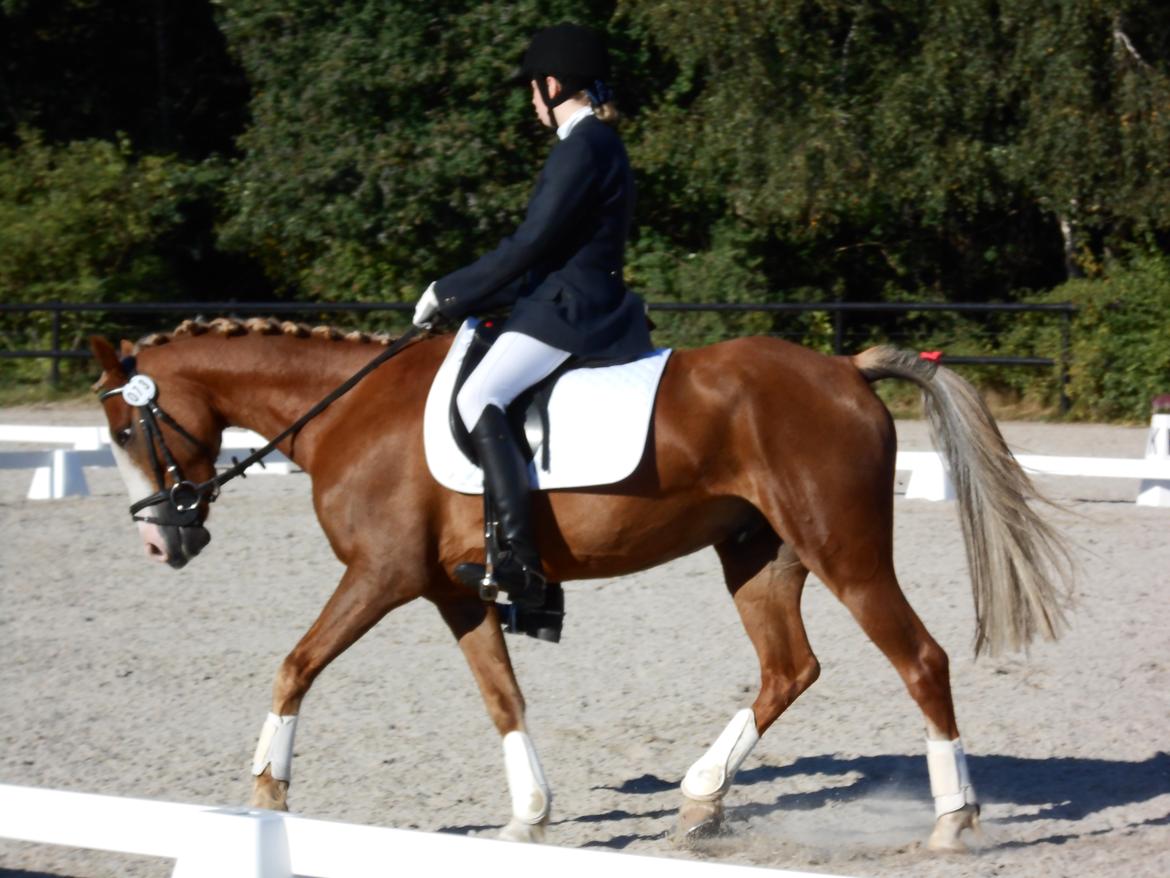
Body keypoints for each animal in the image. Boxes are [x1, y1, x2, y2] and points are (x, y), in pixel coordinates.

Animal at [91, 320, 1071, 852]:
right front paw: (528, 816)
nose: (161, 542)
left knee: (920, 660)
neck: (347, 413)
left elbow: (295, 665)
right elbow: (502, 696)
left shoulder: (378, 575)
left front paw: (267, 795)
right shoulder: (454, 591)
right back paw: (699, 801)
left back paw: (952, 822)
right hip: (759, 555)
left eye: (124, 428)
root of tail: (843, 369)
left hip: (846, 551)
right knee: (789, 669)